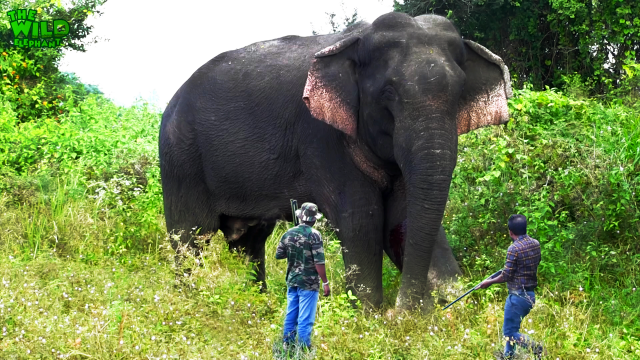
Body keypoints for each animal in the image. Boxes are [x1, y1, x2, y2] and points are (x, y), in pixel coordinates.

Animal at [159, 12, 510, 312]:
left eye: (459, 92)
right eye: (388, 93)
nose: (404, 310)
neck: (354, 41)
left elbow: (401, 218)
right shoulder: (320, 135)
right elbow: (362, 219)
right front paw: (370, 317)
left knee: (247, 241)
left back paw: (254, 306)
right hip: (179, 158)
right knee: (190, 238)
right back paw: (192, 304)